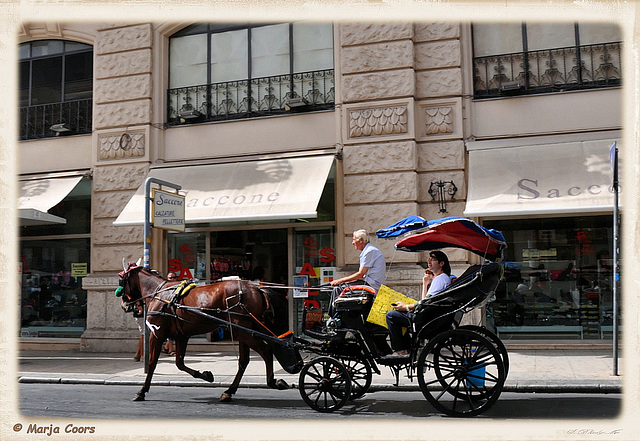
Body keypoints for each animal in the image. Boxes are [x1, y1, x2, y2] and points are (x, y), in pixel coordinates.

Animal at [115, 262, 302, 402]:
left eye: (121, 281)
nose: (124, 305)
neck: (158, 293)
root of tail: (256, 288)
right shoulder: (181, 336)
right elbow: (179, 363)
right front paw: (205, 375)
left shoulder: (157, 334)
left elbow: (153, 363)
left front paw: (142, 391)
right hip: (242, 331)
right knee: (244, 361)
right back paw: (229, 391)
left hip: (243, 331)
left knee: (266, 351)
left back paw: (271, 381)